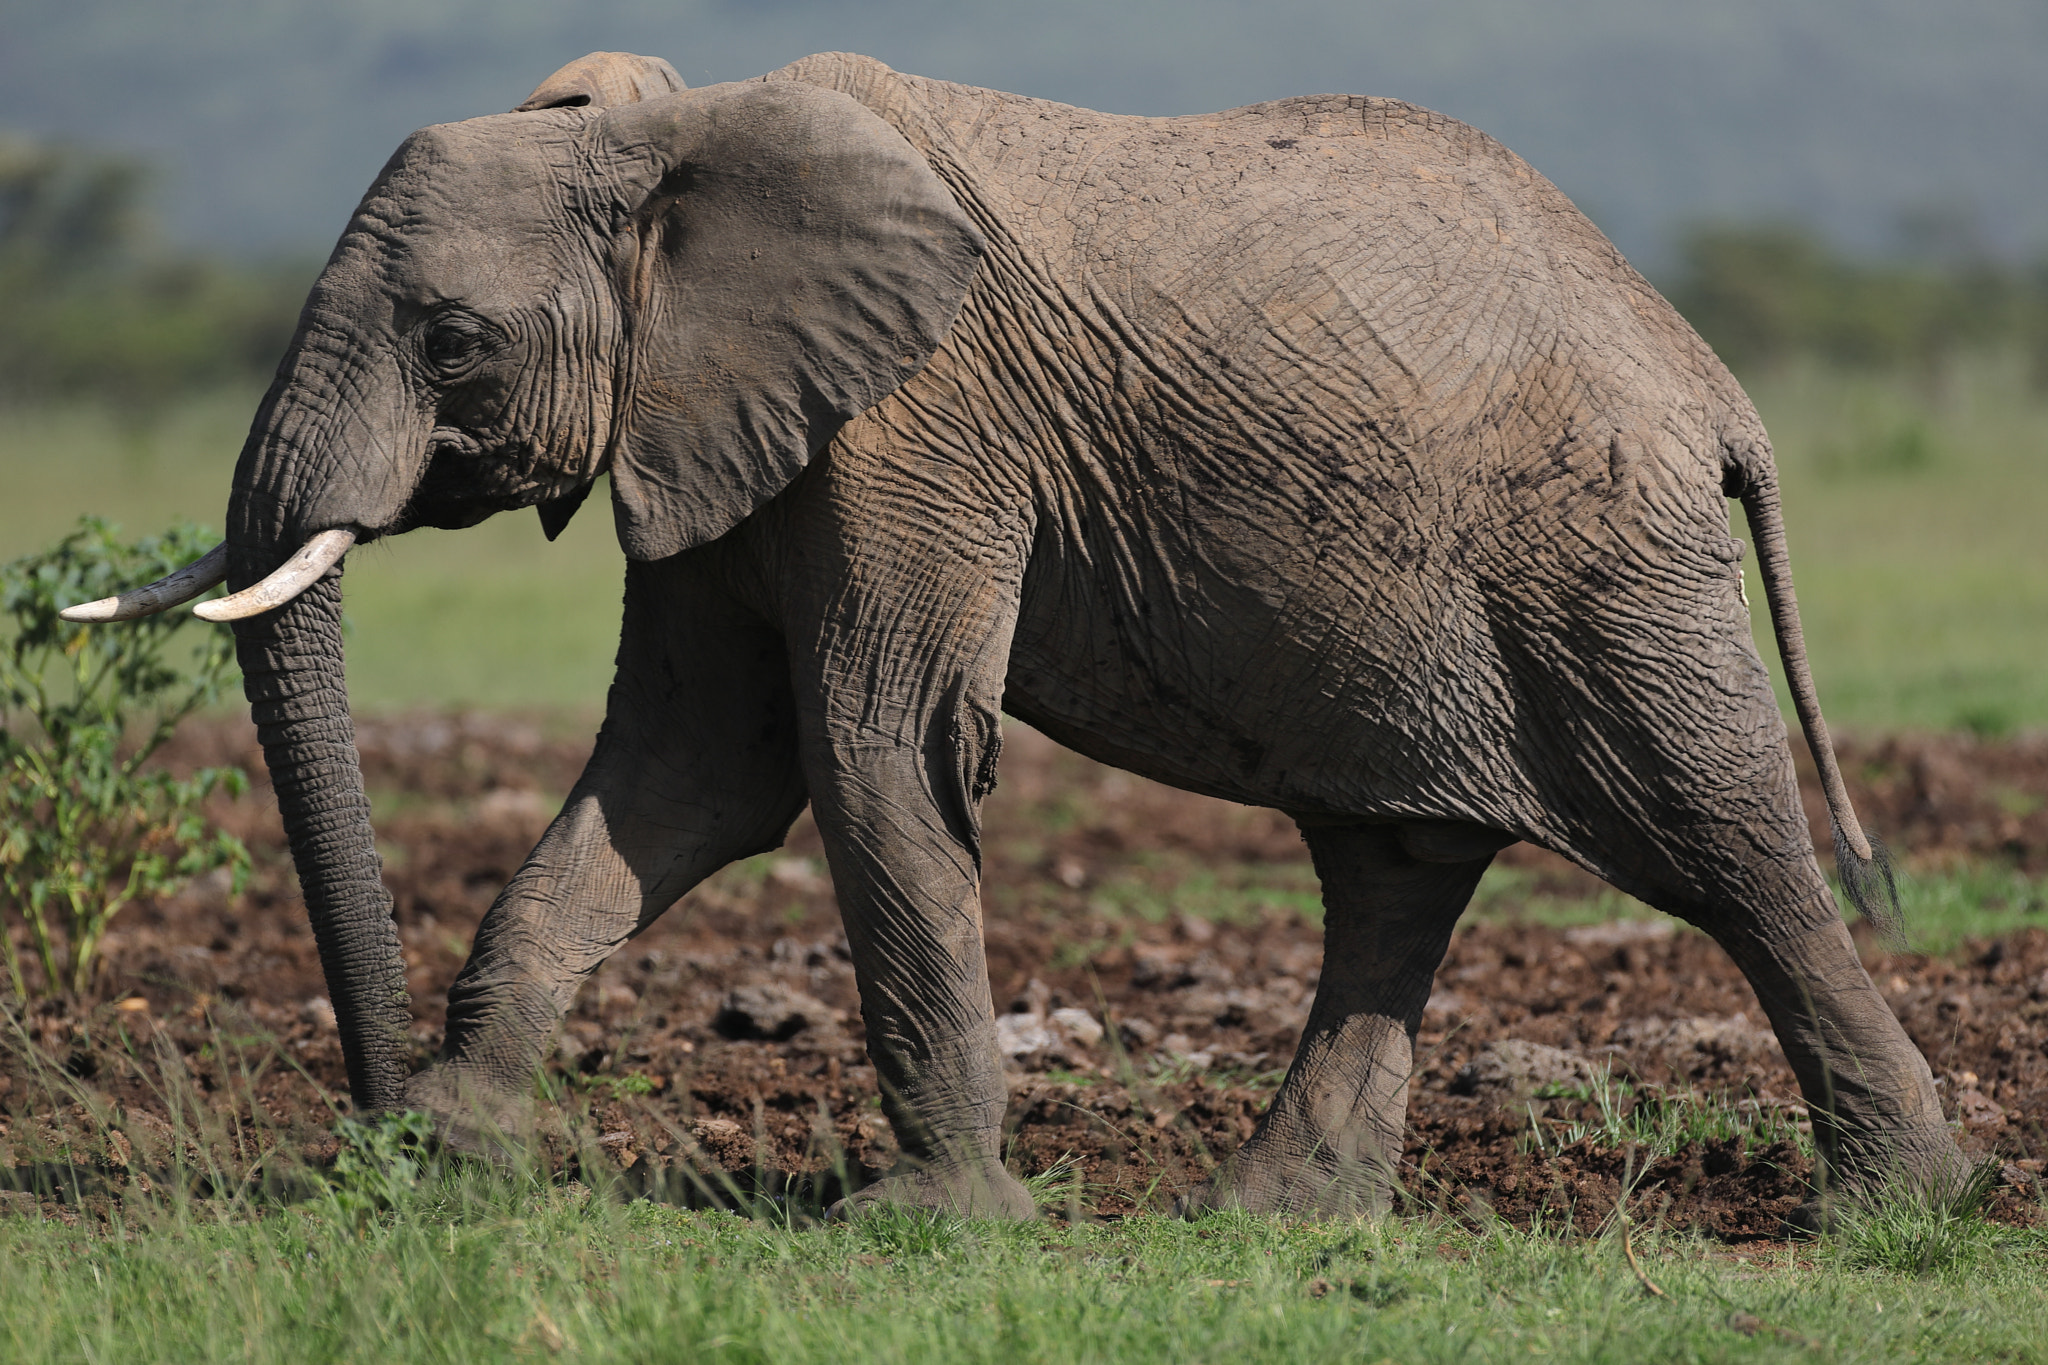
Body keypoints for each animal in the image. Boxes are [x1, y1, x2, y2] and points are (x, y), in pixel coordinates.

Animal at [75, 48, 1966, 1219]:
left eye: (452, 345)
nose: (363, 1117)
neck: (678, 136)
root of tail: (1716, 388)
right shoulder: (726, 425)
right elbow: (693, 770)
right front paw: (464, 1158)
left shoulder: (913, 421)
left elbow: (872, 746)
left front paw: (929, 1222)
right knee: (1392, 862)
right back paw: (1264, 1220)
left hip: (1602, 568)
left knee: (1727, 849)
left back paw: (1905, 1206)